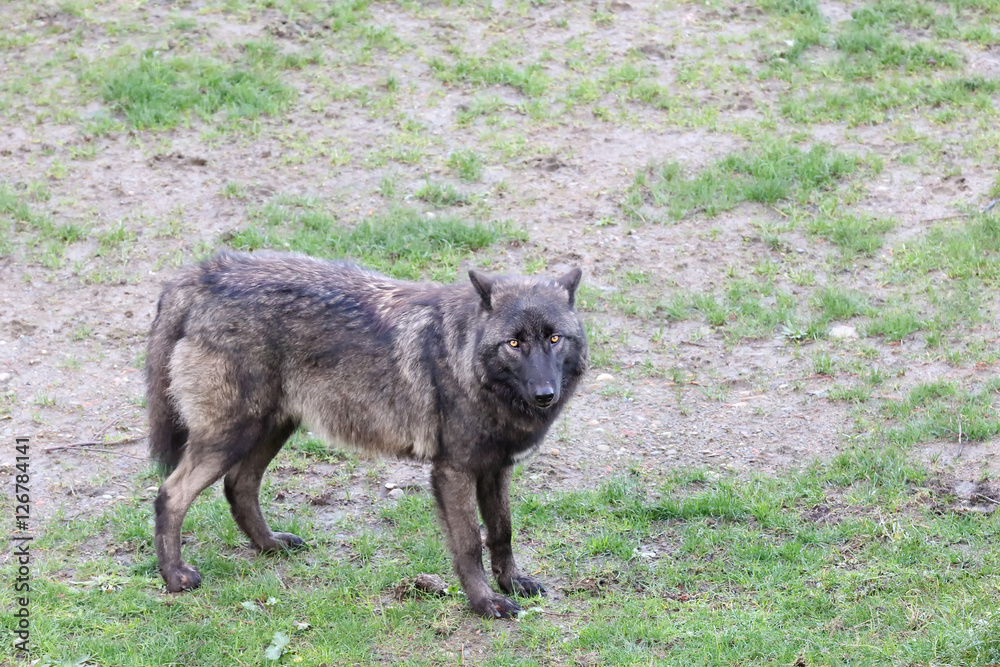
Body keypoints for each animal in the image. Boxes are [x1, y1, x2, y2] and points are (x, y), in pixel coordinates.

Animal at [146, 250, 587, 618]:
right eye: (514, 342)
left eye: (554, 338)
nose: (545, 394)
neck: (468, 362)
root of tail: (205, 273)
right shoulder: (453, 471)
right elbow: (468, 545)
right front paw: (485, 603)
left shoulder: (496, 469)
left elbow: (502, 532)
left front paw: (512, 582)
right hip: (231, 436)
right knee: (171, 494)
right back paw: (175, 577)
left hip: (270, 429)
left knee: (239, 485)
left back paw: (269, 546)